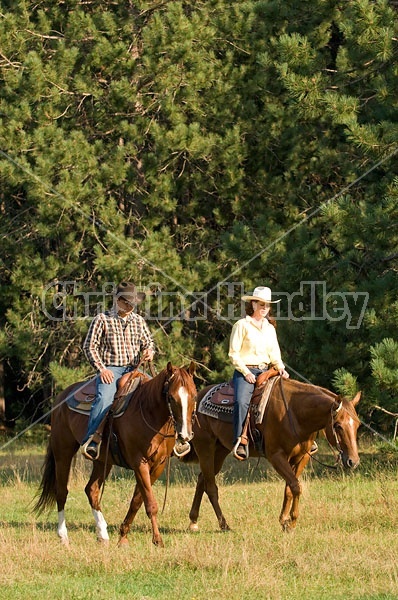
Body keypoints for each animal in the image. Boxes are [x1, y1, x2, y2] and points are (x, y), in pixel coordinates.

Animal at [34, 360, 196, 548]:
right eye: (170, 397)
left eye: (194, 395)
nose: (185, 435)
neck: (148, 412)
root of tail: (61, 397)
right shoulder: (139, 463)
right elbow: (150, 504)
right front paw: (157, 540)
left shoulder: (158, 465)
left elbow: (137, 501)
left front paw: (123, 536)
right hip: (63, 452)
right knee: (61, 492)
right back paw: (63, 536)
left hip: (102, 461)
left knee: (91, 490)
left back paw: (103, 534)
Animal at [183, 378, 360, 532]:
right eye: (338, 425)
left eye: (357, 424)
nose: (353, 461)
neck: (294, 412)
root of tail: (198, 397)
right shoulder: (276, 457)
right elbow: (296, 486)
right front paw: (291, 522)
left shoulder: (301, 457)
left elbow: (290, 488)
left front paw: (284, 520)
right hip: (205, 447)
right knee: (211, 487)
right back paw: (224, 525)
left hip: (220, 451)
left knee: (202, 480)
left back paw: (193, 521)